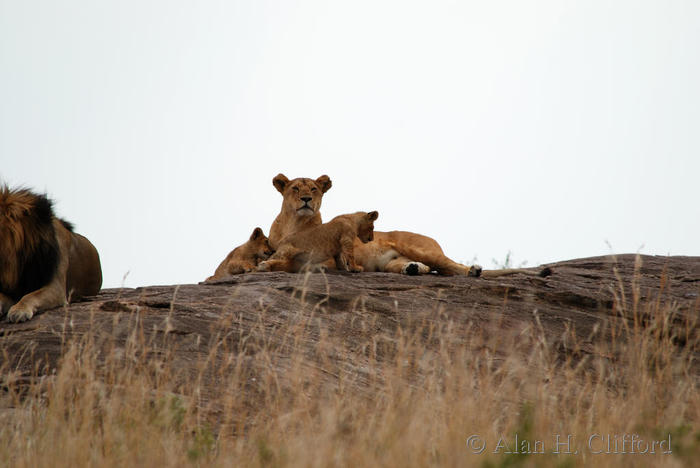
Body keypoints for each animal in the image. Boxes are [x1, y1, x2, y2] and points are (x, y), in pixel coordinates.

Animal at [268, 174, 551, 278]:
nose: (306, 199)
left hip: (421, 248)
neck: (296, 224)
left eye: (314, 189)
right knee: (427, 268)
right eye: (296, 188)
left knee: (452, 265)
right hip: (392, 263)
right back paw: (413, 269)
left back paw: (473, 270)